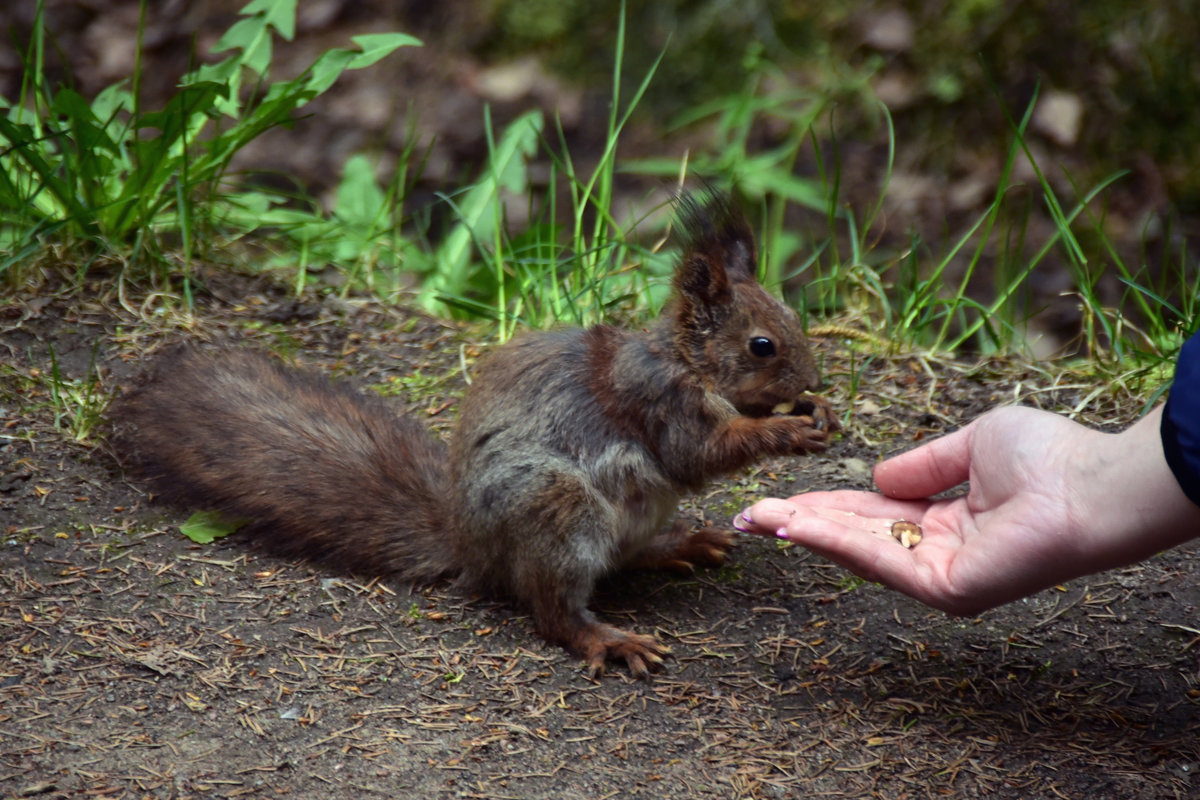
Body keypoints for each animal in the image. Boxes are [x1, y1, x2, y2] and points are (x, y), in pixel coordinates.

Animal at [110, 190, 835, 681]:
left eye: (793, 317)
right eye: (762, 345)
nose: (813, 375)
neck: (685, 362)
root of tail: (469, 546)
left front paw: (815, 409)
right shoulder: (660, 404)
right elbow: (700, 454)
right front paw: (790, 429)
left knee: (625, 557)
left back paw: (680, 543)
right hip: (557, 508)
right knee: (553, 611)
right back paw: (607, 638)